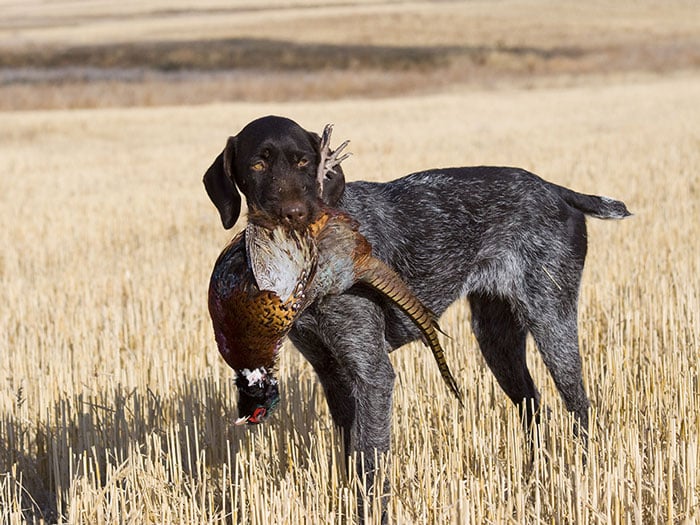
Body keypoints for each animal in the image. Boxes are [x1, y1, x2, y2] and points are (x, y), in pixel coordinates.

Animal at [201, 115, 628, 516]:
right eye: (258, 164)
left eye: (303, 161)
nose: (294, 214)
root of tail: (556, 190)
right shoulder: (332, 373)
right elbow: (352, 455)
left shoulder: (371, 374)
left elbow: (371, 462)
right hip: (497, 340)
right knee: (534, 408)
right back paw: (535, 476)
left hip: (552, 323)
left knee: (580, 409)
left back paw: (582, 476)